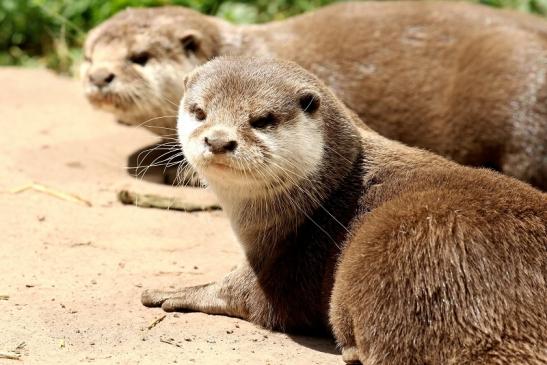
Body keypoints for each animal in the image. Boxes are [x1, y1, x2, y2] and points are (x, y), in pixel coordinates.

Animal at [142, 57, 547, 364]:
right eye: (199, 112)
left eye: (262, 120)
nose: (218, 140)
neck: (328, 196)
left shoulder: (289, 263)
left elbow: (248, 295)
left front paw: (175, 291)